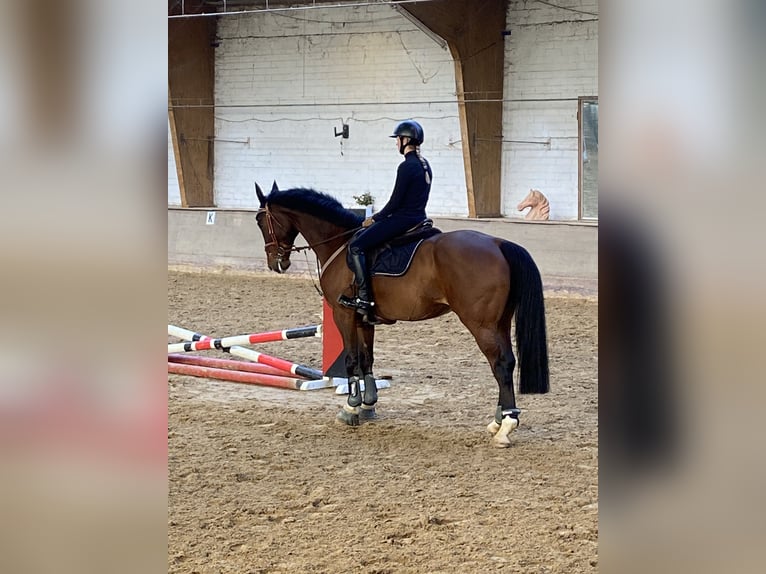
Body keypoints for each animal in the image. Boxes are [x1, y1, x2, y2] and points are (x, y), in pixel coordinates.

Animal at [255, 184, 548, 450]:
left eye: (260, 221)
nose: (276, 263)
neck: (338, 243)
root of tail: (498, 243)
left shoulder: (344, 314)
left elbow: (351, 360)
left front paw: (351, 408)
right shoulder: (364, 319)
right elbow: (367, 359)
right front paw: (368, 405)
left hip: (481, 324)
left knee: (500, 364)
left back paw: (505, 427)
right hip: (499, 322)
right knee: (507, 362)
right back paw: (498, 422)